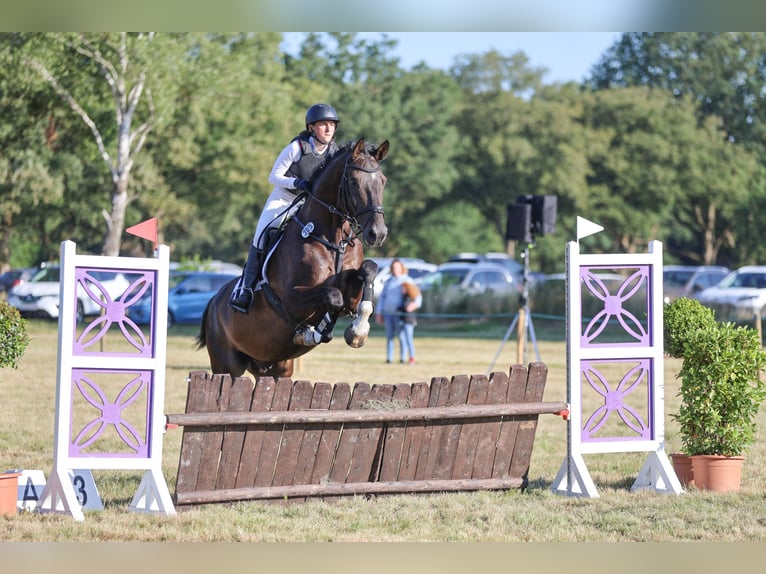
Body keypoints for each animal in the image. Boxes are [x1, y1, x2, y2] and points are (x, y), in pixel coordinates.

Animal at [198, 139, 390, 380]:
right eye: (354, 182)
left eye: (383, 181)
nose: (378, 234)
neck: (332, 239)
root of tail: (214, 301)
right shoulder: (292, 301)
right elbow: (333, 296)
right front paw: (313, 333)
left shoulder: (352, 294)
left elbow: (368, 271)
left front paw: (358, 331)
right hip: (226, 366)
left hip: (275, 368)